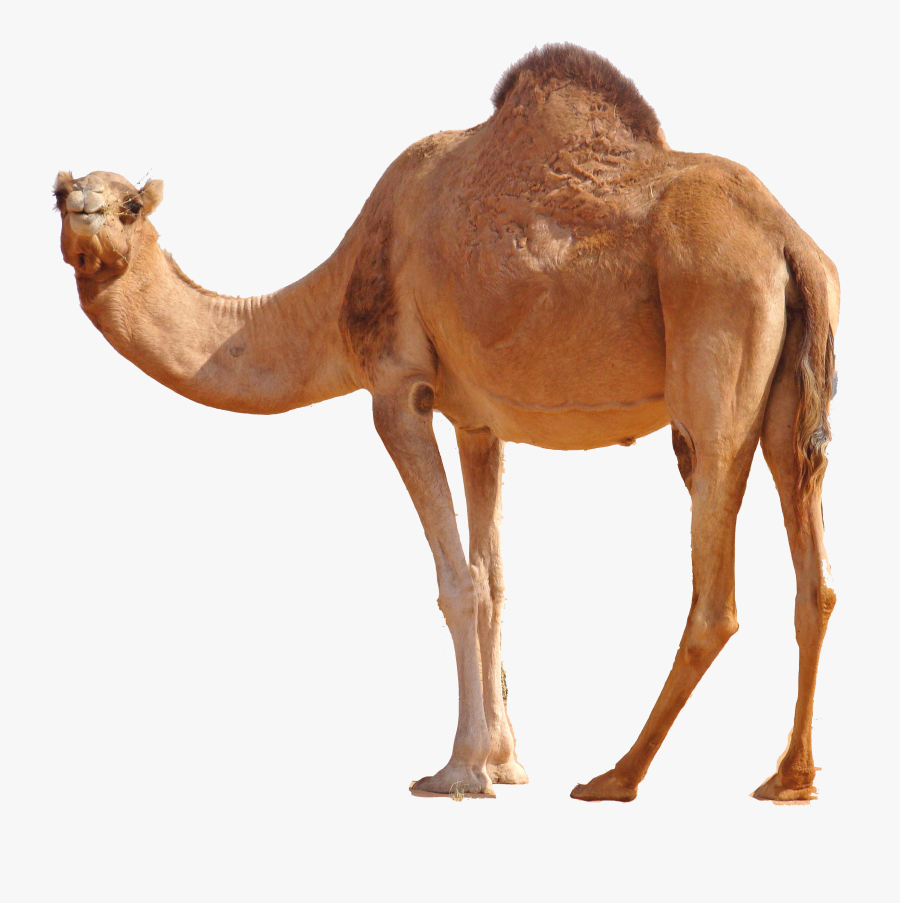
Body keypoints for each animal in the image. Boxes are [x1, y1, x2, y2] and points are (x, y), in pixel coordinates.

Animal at [54, 44, 839, 803]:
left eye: (130, 205)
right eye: (59, 195)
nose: (85, 217)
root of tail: (790, 242)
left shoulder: (397, 388)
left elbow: (457, 582)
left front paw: (459, 771)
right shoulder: (477, 422)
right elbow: (494, 577)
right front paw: (506, 763)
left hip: (714, 339)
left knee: (715, 588)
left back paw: (616, 777)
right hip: (790, 397)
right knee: (814, 573)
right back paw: (789, 778)